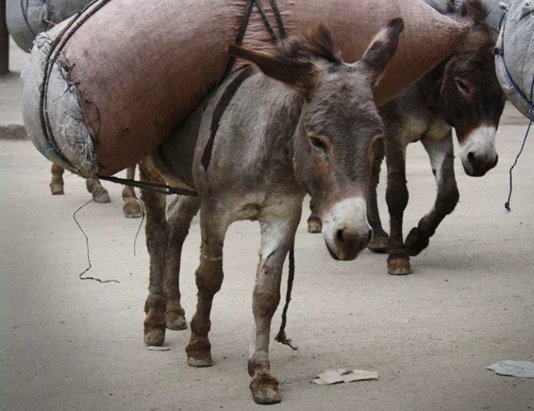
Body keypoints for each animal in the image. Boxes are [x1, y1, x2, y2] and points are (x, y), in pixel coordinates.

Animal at [138, 19, 404, 404]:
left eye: (376, 140)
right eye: (317, 140)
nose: (352, 237)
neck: (268, 149)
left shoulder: (282, 214)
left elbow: (266, 295)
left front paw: (261, 375)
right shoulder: (216, 211)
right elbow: (209, 277)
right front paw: (199, 347)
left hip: (188, 185)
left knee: (175, 229)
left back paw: (174, 310)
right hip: (151, 171)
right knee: (157, 236)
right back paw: (155, 319)